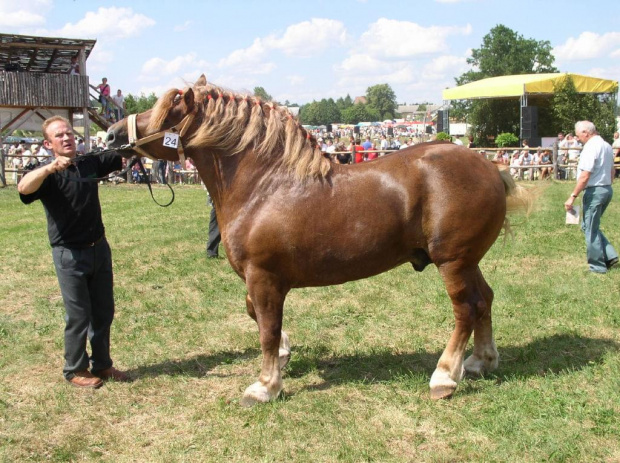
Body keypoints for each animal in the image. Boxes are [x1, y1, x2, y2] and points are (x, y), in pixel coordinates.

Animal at [106, 75, 520, 406]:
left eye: (168, 111)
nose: (111, 135)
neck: (264, 186)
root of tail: (491, 166)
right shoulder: (260, 280)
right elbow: (257, 316)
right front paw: (285, 355)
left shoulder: (264, 277)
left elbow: (266, 329)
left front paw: (265, 385)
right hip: (469, 261)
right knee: (484, 300)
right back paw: (481, 361)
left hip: (452, 262)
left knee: (465, 309)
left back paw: (445, 377)